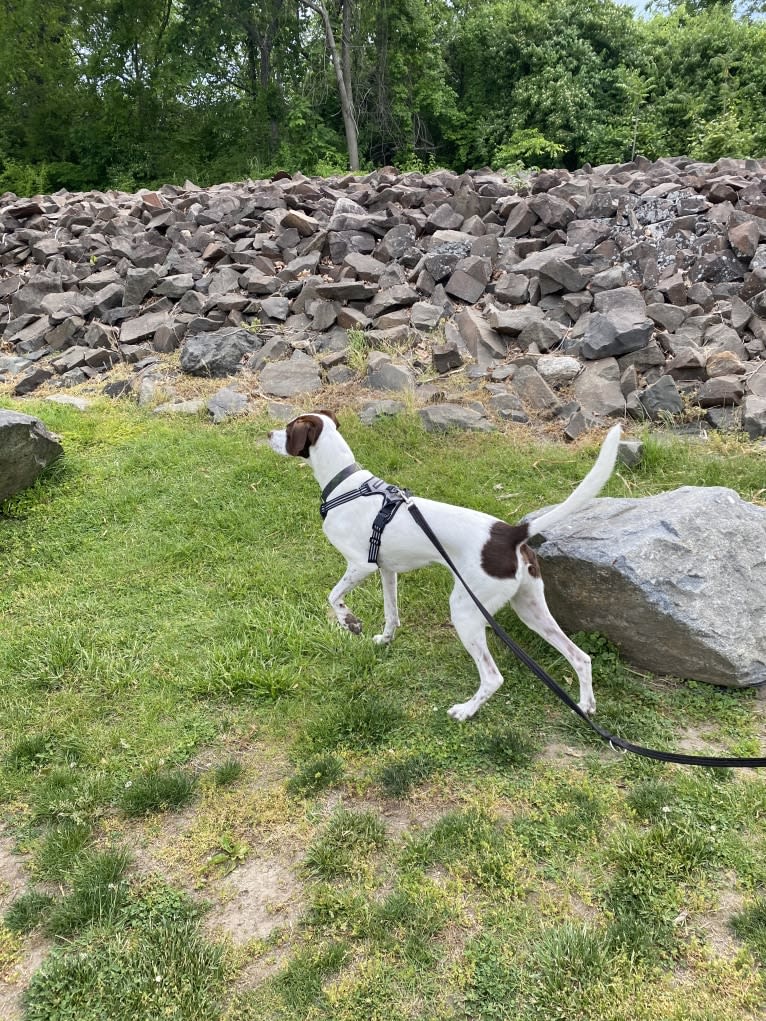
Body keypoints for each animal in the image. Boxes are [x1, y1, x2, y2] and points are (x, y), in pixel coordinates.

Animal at [269, 410, 625, 722]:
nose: (267, 434)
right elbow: (391, 613)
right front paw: (385, 639)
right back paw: (585, 705)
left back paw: (466, 711)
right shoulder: (386, 570)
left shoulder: (360, 565)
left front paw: (350, 623)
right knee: (581, 657)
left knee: (493, 677)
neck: (345, 484)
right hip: (529, 608)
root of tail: (511, 533)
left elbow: (333, 597)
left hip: (466, 610)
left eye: (287, 430)